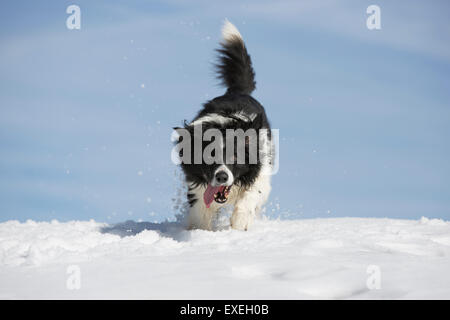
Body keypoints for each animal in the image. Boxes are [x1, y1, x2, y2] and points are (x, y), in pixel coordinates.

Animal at [175, 19, 274, 230]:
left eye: (235, 157)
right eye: (208, 156)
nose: (221, 177)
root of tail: (236, 92)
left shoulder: (260, 173)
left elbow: (251, 195)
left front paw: (240, 222)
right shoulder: (197, 186)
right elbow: (200, 211)